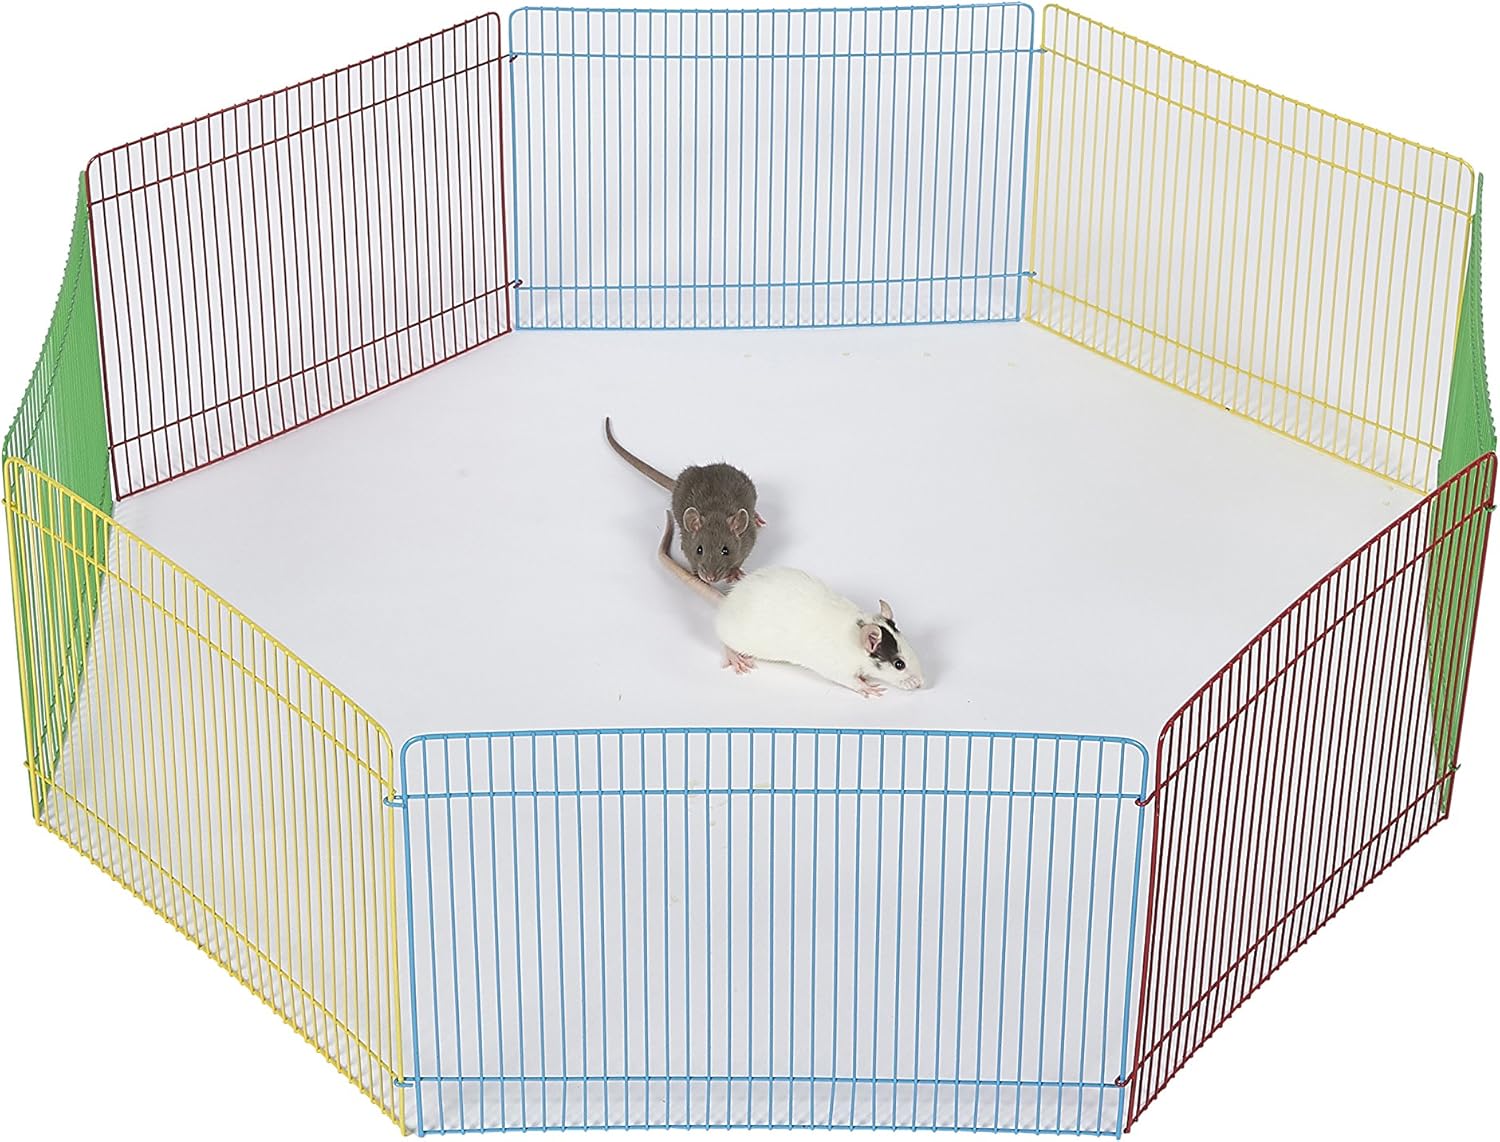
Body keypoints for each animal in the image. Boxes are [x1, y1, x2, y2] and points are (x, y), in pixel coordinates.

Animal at [606, 416, 765, 583]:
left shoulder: (748, 540)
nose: (710, 578)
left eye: (725, 550)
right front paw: (697, 575)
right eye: (699, 550)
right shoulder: (686, 544)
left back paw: (756, 517)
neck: (715, 511)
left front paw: (734, 573)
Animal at [658, 513, 925, 698]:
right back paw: (735, 657)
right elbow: (848, 680)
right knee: (724, 641)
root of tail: (728, 601)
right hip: (736, 636)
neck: (857, 628)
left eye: (911, 649)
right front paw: (866, 687)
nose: (922, 683)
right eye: (899, 665)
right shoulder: (838, 668)